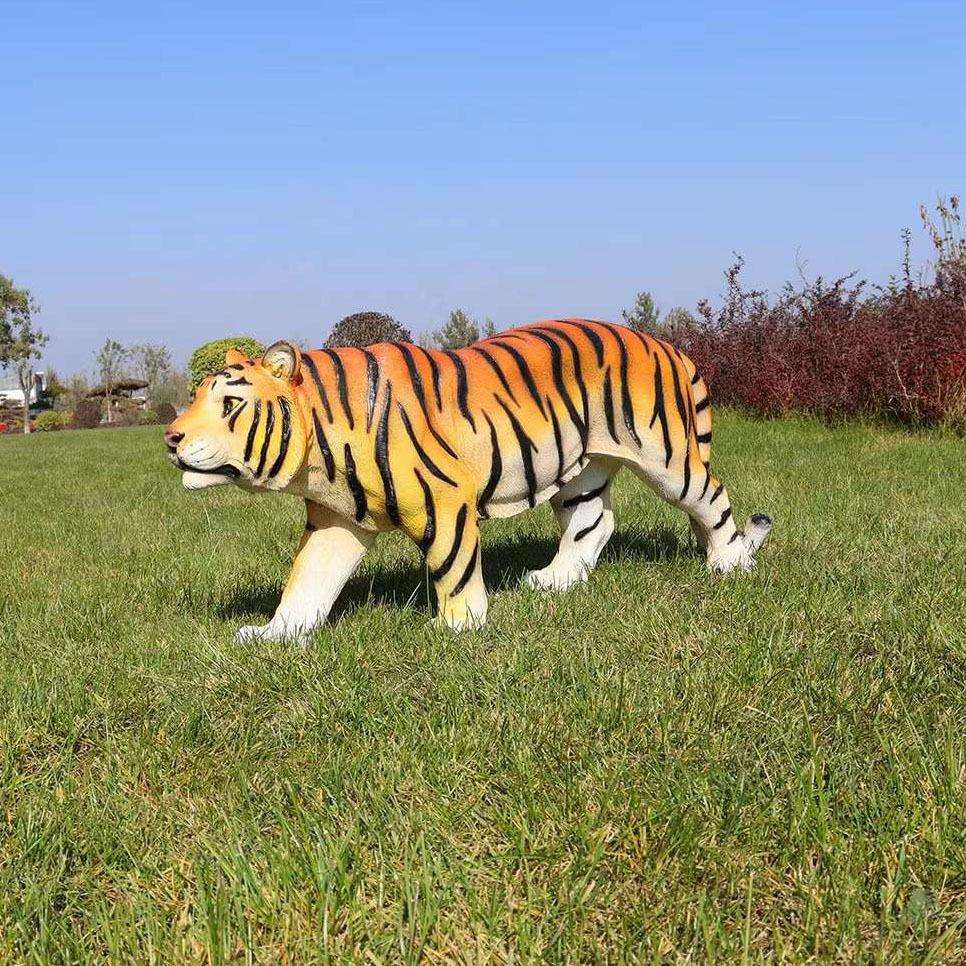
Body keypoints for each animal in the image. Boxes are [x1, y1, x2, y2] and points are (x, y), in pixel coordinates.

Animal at [165, 320, 773, 639]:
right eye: (195, 398)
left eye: (230, 403)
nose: (170, 437)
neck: (320, 450)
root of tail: (666, 344)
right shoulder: (337, 520)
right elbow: (308, 582)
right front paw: (275, 635)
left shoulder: (444, 500)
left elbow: (453, 568)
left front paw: (457, 627)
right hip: (576, 469)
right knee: (594, 523)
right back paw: (552, 581)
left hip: (668, 460)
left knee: (713, 499)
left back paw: (729, 563)